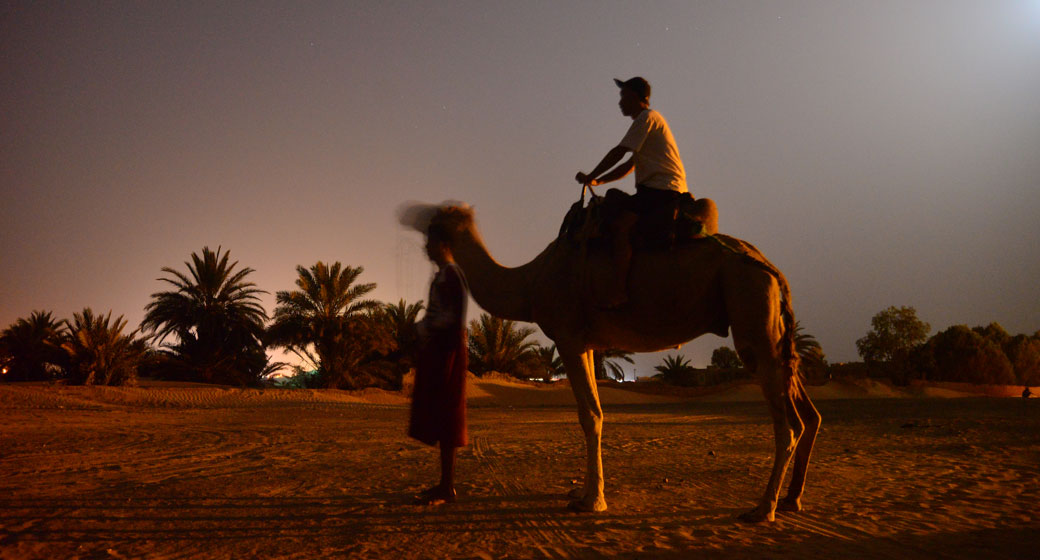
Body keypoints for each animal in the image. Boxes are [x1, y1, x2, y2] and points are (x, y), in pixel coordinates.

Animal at [405, 201, 819, 522]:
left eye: (436, 220)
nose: (414, 225)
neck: (531, 279)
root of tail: (772, 268)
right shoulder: (587, 344)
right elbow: (598, 412)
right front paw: (581, 493)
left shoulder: (568, 336)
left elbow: (589, 416)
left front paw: (592, 502)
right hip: (772, 325)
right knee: (806, 413)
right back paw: (791, 499)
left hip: (750, 304)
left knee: (788, 423)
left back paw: (762, 509)